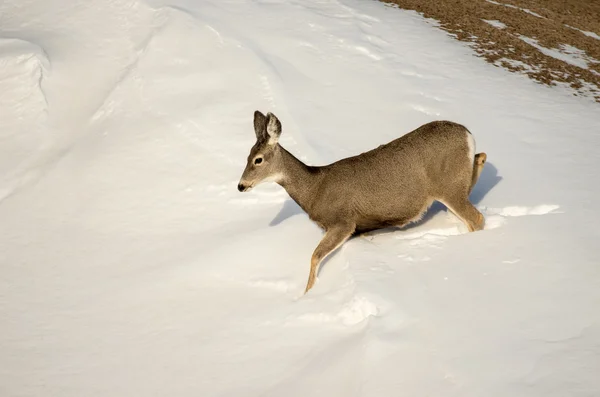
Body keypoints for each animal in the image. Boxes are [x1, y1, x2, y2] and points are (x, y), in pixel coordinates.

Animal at [237, 110, 486, 292]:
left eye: (258, 160)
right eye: (247, 156)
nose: (241, 185)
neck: (315, 189)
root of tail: (467, 134)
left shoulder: (343, 222)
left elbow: (314, 257)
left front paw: (307, 295)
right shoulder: (362, 228)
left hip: (448, 186)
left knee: (477, 218)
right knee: (479, 163)